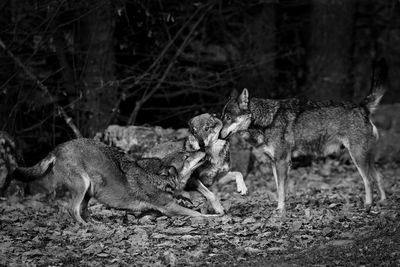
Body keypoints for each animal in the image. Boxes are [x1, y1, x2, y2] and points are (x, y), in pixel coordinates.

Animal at [11, 138, 216, 224]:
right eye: (187, 156)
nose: (203, 149)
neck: (158, 178)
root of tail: (57, 149)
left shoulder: (157, 209)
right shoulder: (169, 207)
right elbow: (194, 212)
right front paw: (212, 217)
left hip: (90, 190)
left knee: (83, 209)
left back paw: (95, 222)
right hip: (83, 185)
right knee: (72, 209)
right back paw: (86, 226)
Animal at [220, 59, 390, 214]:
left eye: (228, 117)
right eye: (222, 116)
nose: (220, 135)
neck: (267, 120)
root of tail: (362, 106)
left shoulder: (282, 162)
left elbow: (281, 189)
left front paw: (280, 210)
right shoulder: (275, 163)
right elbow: (279, 188)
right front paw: (281, 207)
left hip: (358, 157)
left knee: (369, 180)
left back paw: (368, 206)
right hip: (366, 157)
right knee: (379, 176)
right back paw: (382, 202)